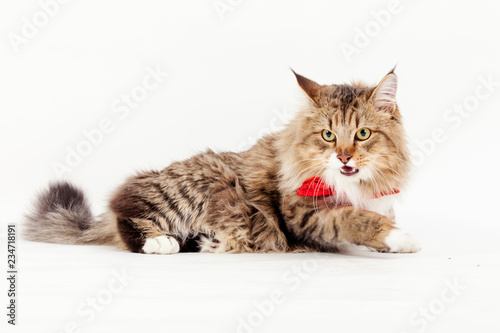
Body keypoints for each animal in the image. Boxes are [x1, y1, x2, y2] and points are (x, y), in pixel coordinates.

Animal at [25, 68, 420, 254]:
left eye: (363, 134)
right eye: (327, 135)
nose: (343, 157)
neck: (355, 185)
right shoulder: (305, 216)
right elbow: (355, 219)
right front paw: (399, 237)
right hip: (198, 185)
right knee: (128, 210)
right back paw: (160, 242)